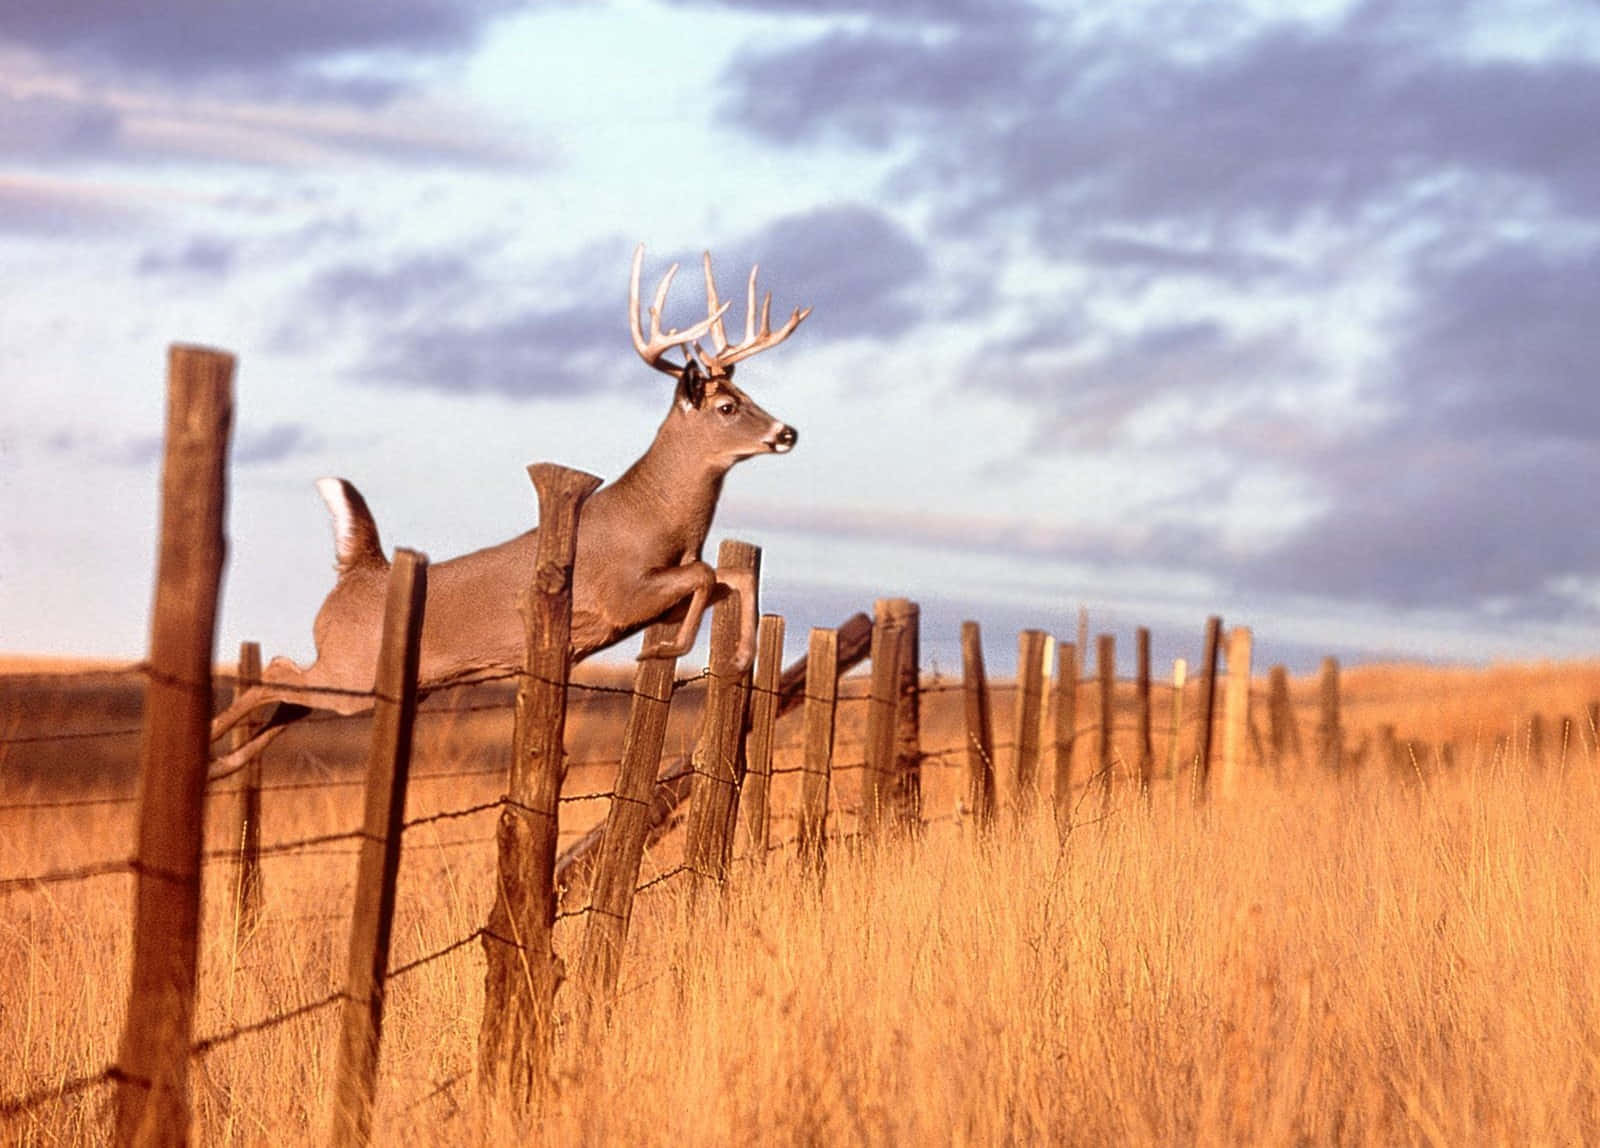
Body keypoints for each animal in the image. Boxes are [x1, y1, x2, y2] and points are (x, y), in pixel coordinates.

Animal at [208, 245, 810, 773]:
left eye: (749, 397)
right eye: (728, 406)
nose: (788, 432)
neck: (657, 519)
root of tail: (360, 572)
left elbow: (731, 575)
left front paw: (739, 657)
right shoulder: (620, 594)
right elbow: (707, 573)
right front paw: (667, 652)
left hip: (370, 683)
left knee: (290, 700)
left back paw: (222, 763)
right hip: (354, 668)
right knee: (278, 671)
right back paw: (206, 743)